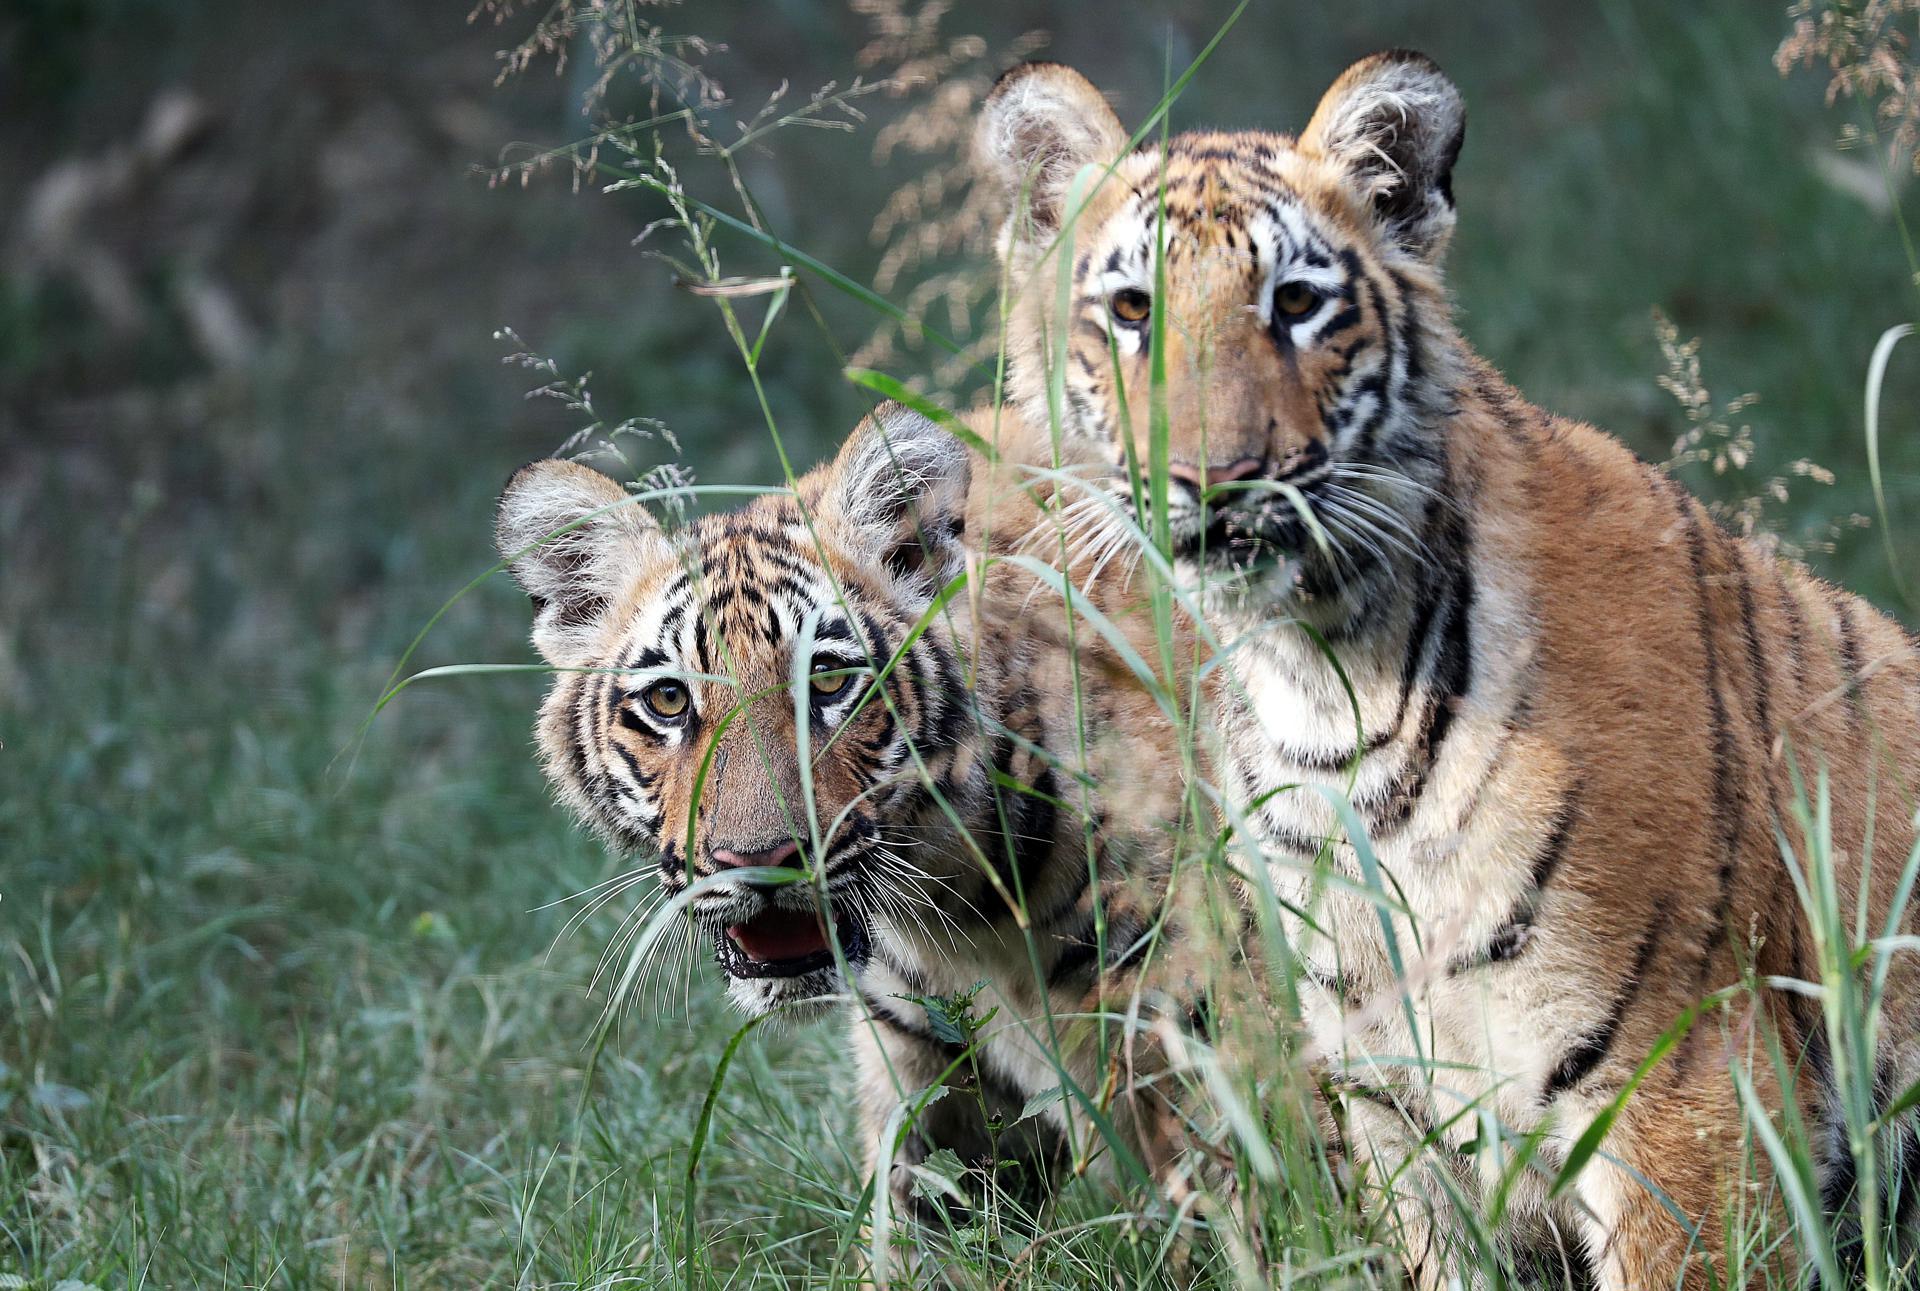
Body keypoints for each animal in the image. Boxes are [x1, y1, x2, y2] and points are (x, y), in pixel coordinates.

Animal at [972, 48, 1920, 1289]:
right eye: (1133, 312)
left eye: (1296, 303)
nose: (1217, 478)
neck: (1323, 689)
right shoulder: (1394, 1105)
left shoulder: (1683, 1080)